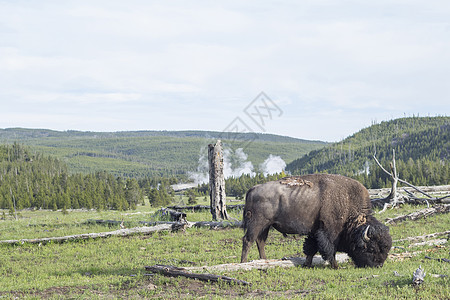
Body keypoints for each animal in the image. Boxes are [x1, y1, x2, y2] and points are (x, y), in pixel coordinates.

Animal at [241, 175, 392, 268]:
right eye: (371, 248)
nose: (378, 265)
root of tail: (253, 189)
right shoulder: (329, 231)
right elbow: (330, 249)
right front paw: (336, 266)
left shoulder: (314, 231)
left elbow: (311, 248)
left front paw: (307, 264)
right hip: (256, 223)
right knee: (248, 240)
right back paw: (243, 262)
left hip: (265, 226)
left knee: (260, 241)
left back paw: (262, 260)